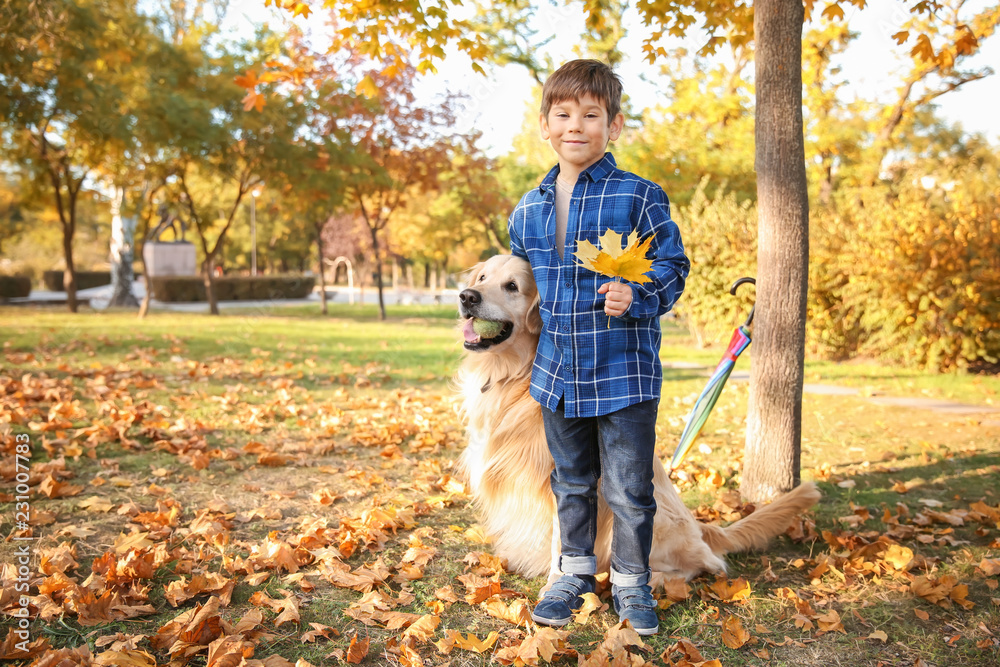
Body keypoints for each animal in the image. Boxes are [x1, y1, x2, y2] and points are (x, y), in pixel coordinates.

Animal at [458, 253, 816, 588]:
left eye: (512, 286)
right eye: (483, 277)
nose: (466, 296)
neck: (513, 376)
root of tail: (701, 525)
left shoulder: (558, 476)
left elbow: (563, 538)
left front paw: (556, 585)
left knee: (705, 565)